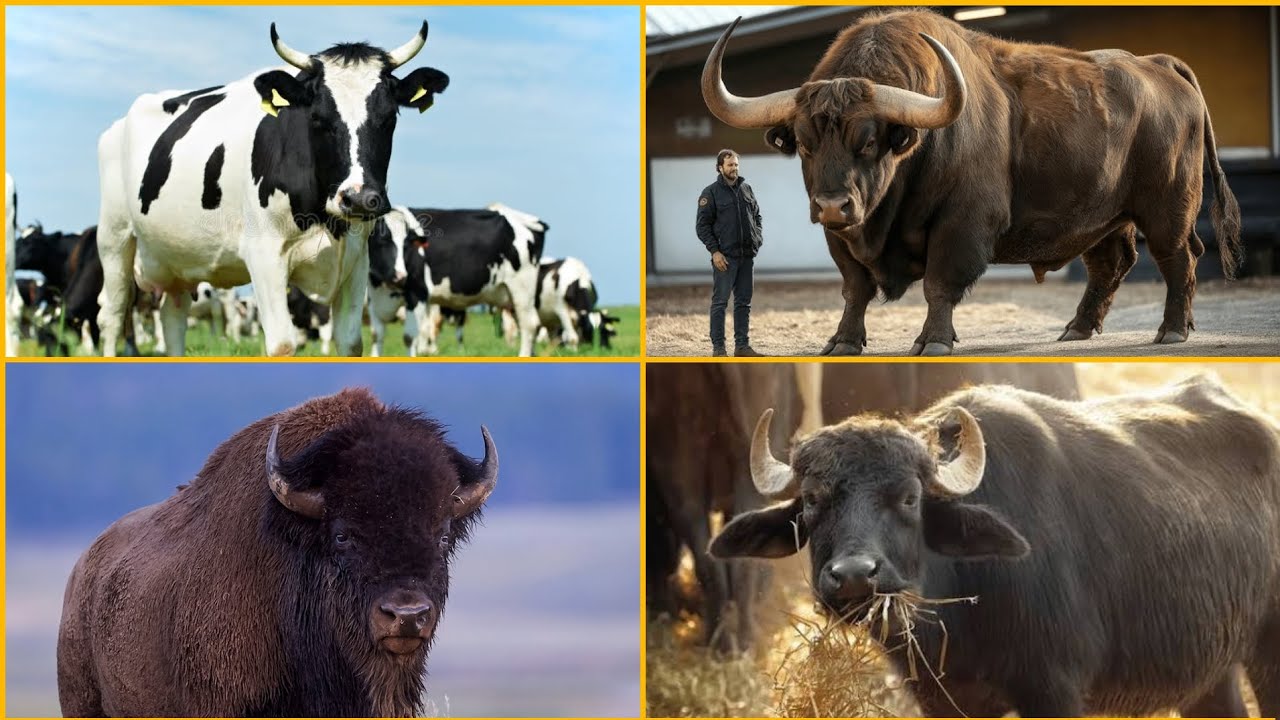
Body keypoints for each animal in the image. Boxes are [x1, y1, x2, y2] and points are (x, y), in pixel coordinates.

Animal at [96, 22, 450, 357]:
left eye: (389, 117)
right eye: (318, 118)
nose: (359, 198)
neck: (327, 222)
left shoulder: (357, 258)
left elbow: (350, 342)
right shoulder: (263, 253)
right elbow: (282, 343)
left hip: (176, 257)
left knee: (173, 319)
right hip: (114, 239)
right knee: (111, 314)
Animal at [367, 204, 547, 357]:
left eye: (406, 245)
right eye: (381, 242)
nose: (401, 276)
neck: (383, 285)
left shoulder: (418, 293)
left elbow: (409, 337)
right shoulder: (373, 297)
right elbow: (376, 334)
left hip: (522, 289)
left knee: (529, 324)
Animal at [702, 10, 1242, 355]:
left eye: (869, 141)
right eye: (805, 143)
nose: (834, 205)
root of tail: (1158, 65)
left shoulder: (961, 224)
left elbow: (940, 283)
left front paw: (934, 339)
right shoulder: (841, 239)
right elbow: (854, 288)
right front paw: (842, 341)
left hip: (1167, 208)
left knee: (1179, 259)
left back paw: (1172, 330)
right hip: (1105, 217)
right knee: (1112, 264)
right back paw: (1076, 329)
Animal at [711, 374, 1280, 716]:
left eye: (910, 498)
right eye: (811, 500)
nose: (853, 575)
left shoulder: (1054, 690)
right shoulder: (943, 701)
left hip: (1266, 650)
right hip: (1211, 670)